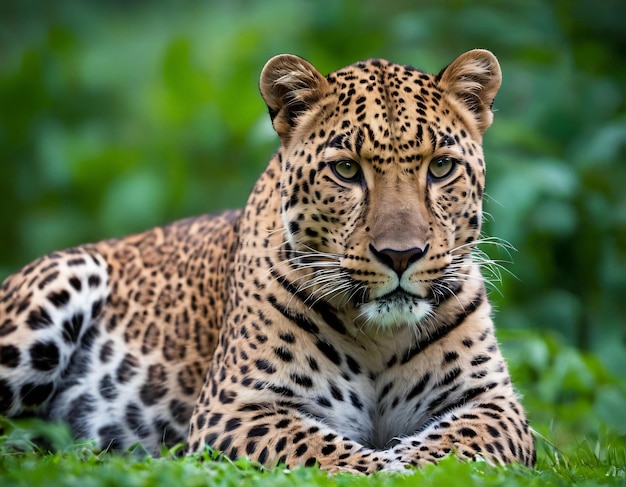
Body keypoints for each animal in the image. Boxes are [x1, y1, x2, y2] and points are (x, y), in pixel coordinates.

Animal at [1, 49, 536, 472]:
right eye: (346, 170)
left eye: (441, 167)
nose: (400, 255)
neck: (379, 340)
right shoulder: (235, 407)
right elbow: (331, 452)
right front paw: (389, 468)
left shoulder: (493, 403)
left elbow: (453, 445)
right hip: (66, 278)